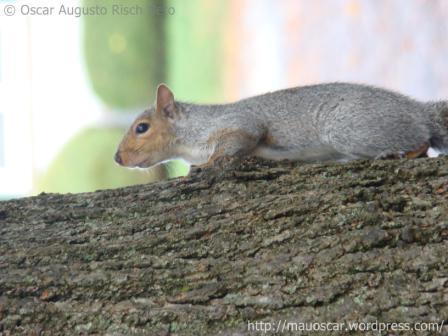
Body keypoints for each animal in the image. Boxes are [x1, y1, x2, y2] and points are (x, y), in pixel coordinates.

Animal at [115, 81, 448, 171]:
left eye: (142, 128)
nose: (117, 158)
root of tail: (419, 111)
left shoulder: (237, 123)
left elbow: (238, 140)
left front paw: (208, 164)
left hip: (348, 128)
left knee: (421, 140)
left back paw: (398, 153)